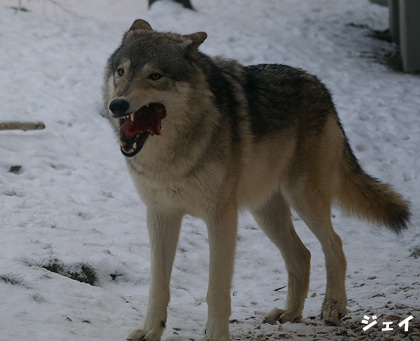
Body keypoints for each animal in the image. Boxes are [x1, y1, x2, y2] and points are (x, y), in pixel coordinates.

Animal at [102, 19, 410, 340]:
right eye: (121, 71)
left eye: (155, 75)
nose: (117, 105)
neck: (171, 157)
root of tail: (320, 86)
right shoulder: (161, 215)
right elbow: (158, 286)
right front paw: (150, 330)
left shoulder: (221, 218)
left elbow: (217, 289)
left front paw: (215, 336)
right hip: (265, 212)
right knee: (303, 255)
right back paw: (290, 312)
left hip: (304, 199)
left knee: (334, 245)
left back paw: (333, 307)